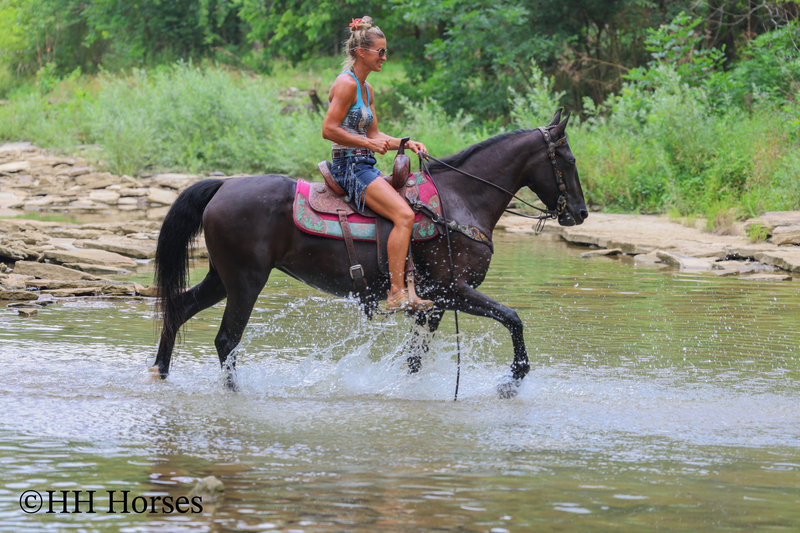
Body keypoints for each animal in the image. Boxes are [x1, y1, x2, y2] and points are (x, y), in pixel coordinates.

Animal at [151, 109, 588, 397]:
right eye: (569, 160)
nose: (580, 213)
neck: (460, 200)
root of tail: (224, 185)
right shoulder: (455, 290)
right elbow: (513, 318)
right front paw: (513, 379)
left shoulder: (433, 303)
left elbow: (415, 360)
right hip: (245, 282)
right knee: (227, 339)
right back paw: (233, 392)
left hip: (222, 278)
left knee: (179, 309)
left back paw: (160, 372)